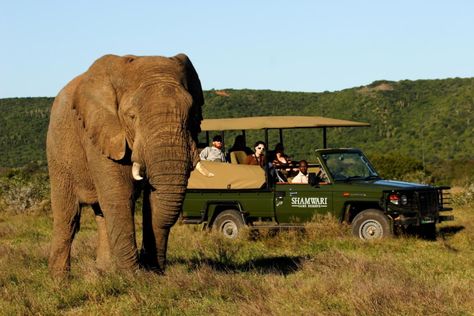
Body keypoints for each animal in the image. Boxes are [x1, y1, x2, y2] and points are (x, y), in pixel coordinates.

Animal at [46, 53, 209, 276]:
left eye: (193, 114)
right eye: (132, 116)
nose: (149, 265)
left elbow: (150, 200)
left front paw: (149, 274)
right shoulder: (100, 133)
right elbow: (120, 195)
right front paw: (134, 277)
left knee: (101, 214)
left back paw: (104, 272)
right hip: (58, 153)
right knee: (68, 217)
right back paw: (60, 280)